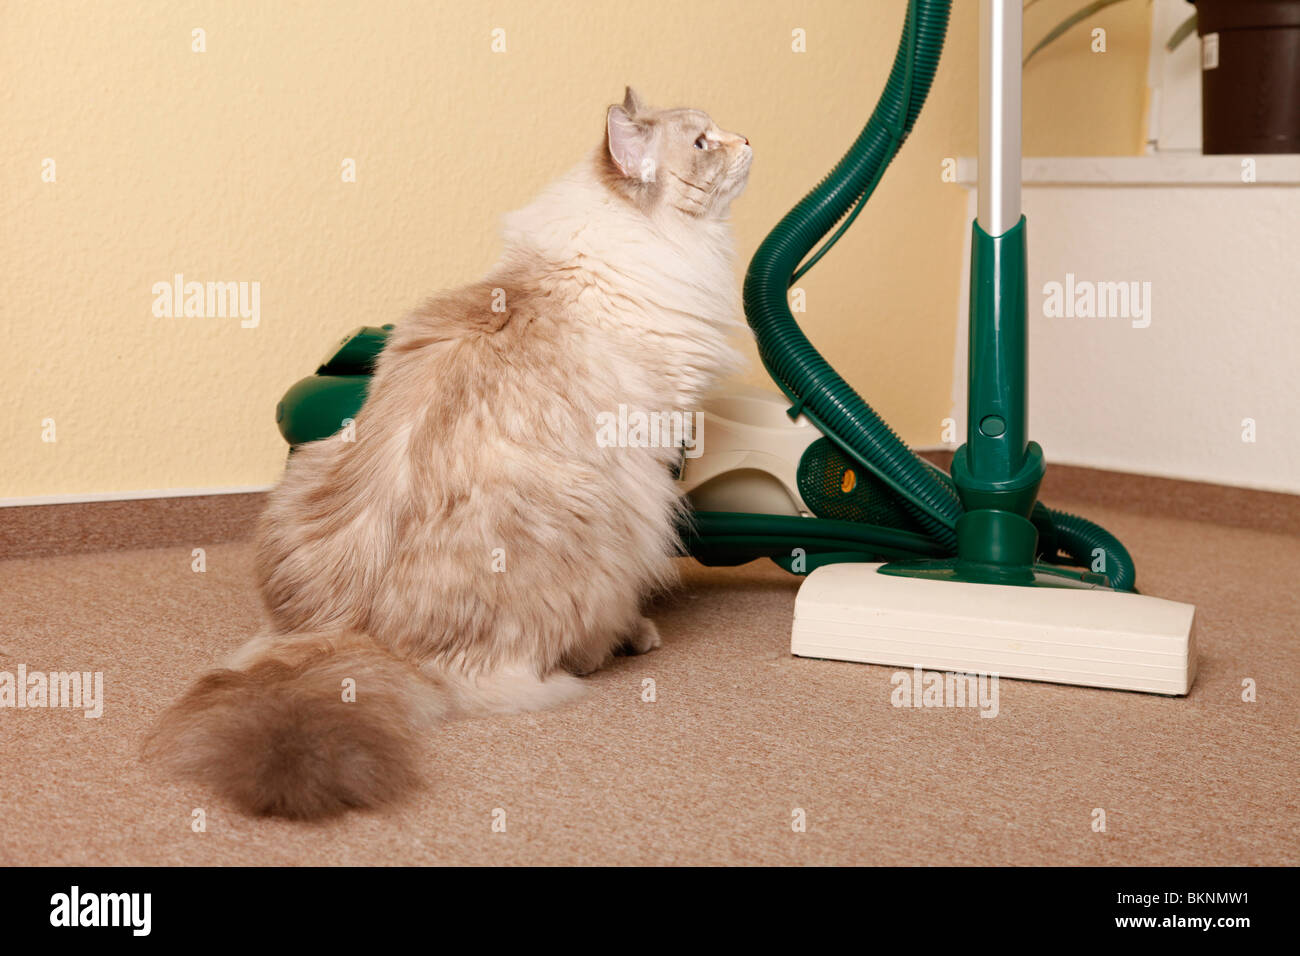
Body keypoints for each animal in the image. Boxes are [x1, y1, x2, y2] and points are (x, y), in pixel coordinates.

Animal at [144, 89, 754, 816]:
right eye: (702, 143)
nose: (749, 141)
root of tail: (364, 637)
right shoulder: (657, 446)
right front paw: (639, 627)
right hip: (602, 514)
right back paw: (615, 645)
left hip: (312, 462)